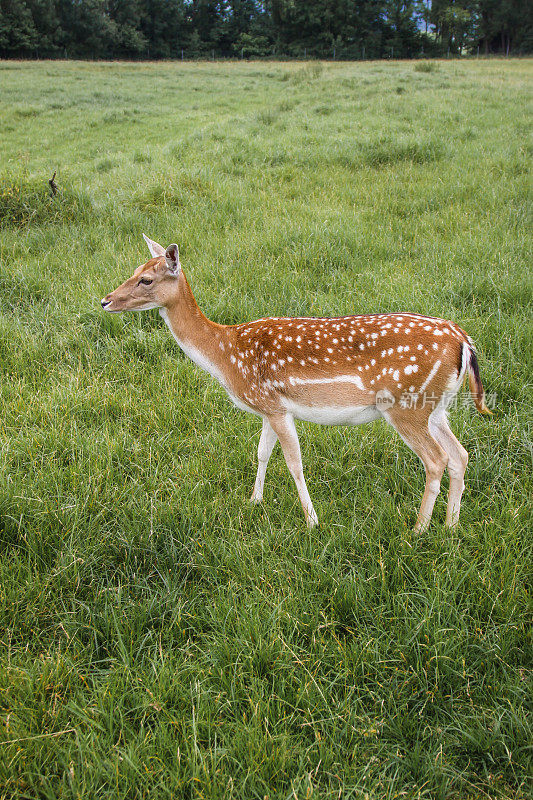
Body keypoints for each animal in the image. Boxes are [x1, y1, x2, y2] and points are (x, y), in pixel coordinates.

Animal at [101, 233, 490, 532]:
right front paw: (254, 502)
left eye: (147, 279)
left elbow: (294, 463)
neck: (225, 353)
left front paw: (312, 521)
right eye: (134, 271)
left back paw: (418, 530)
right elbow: (261, 453)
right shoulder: (267, 407)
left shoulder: (274, 405)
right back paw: (451, 526)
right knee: (460, 455)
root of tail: (464, 341)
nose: (105, 301)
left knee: (436, 460)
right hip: (435, 406)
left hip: (405, 404)